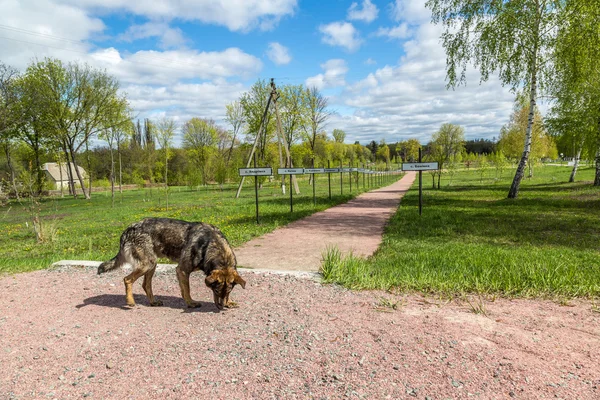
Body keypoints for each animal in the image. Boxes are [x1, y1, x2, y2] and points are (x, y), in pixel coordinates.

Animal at [97, 219, 245, 310]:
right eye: (216, 290)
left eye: (228, 291)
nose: (221, 307)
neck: (211, 244)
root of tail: (127, 231)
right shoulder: (182, 270)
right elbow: (187, 290)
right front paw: (191, 303)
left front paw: (228, 302)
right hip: (147, 264)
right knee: (127, 279)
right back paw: (130, 301)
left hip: (152, 264)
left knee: (146, 285)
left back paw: (153, 302)